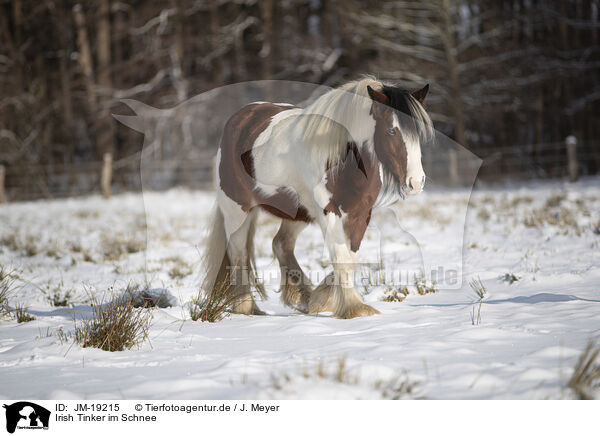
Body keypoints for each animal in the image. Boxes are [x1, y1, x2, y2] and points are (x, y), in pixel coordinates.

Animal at [202, 76, 432, 318]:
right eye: (391, 131)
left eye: (418, 133)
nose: (416, 182)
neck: (343, 159)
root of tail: (241, 117)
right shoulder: (328, 211)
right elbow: (342, 258)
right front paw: (355, 308)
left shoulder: (360, 213)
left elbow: (350, 258)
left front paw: (323, 299)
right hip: (236, 209)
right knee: (238, 254)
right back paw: (246, 306)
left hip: (298, 213)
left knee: (280, 244)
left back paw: (302, 297)